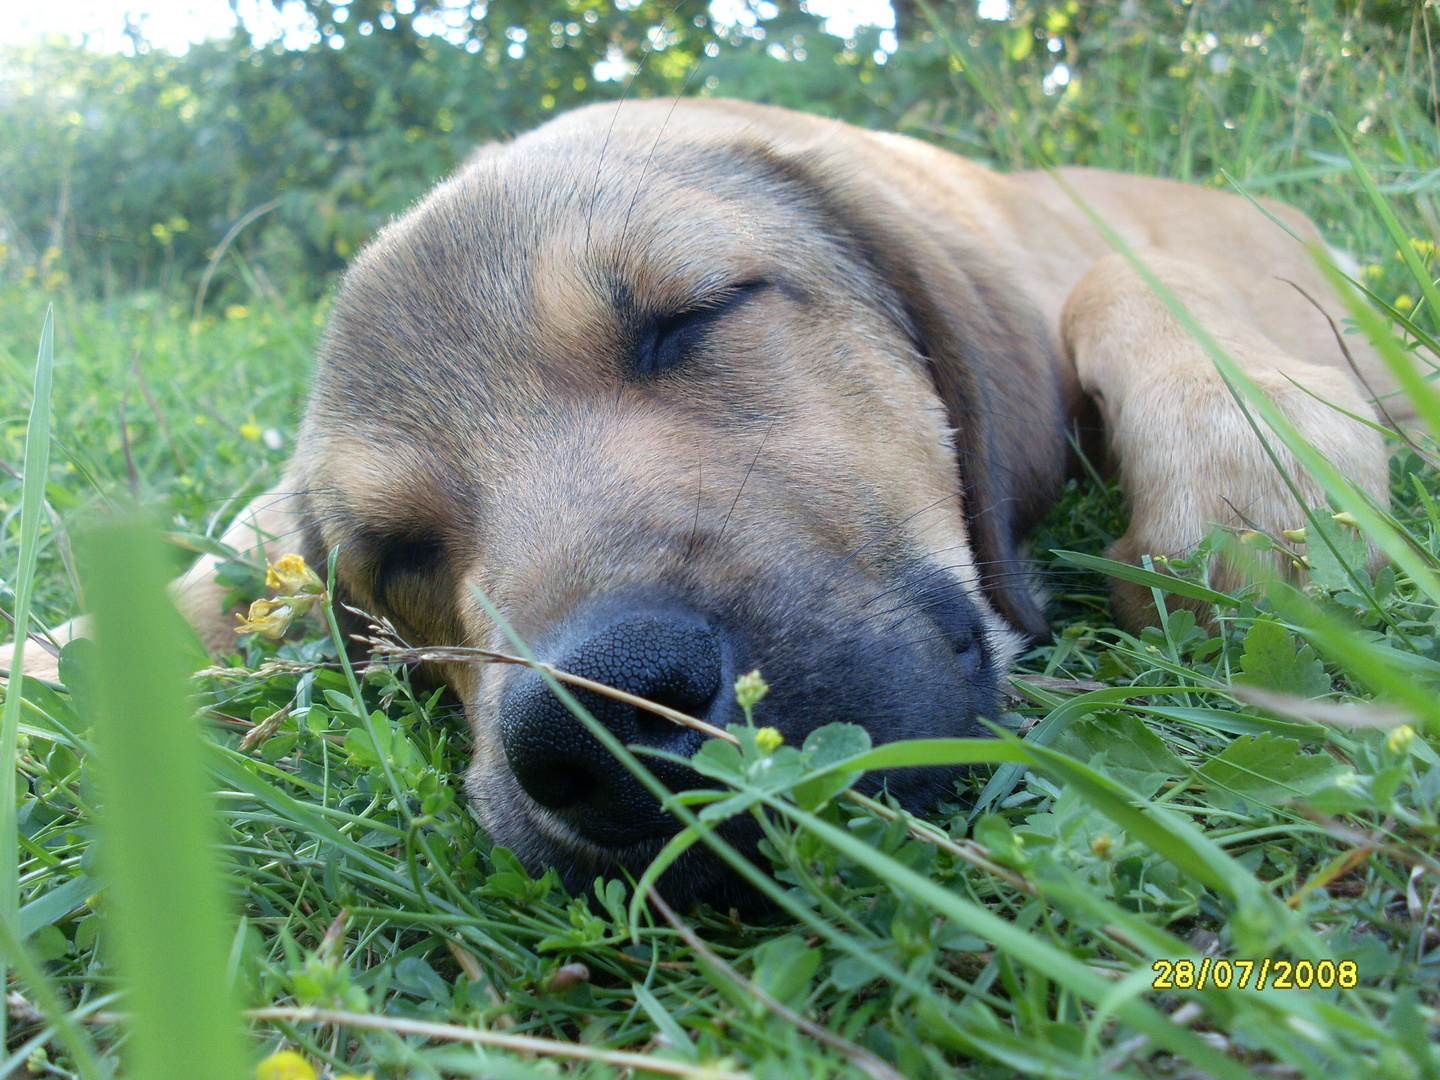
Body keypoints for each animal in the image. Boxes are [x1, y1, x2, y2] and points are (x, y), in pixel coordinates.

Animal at [8, 101, 1405, 910]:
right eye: (395, 556)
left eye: (692, 316)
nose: (606, 724)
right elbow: (215, 565)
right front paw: (49, 665)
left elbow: (1124, 286)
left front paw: (1258, 489)